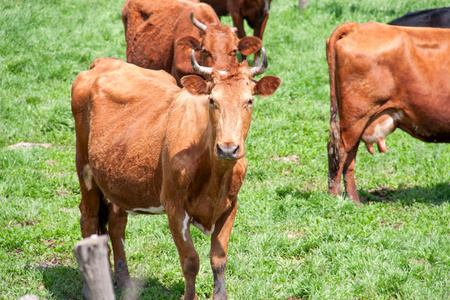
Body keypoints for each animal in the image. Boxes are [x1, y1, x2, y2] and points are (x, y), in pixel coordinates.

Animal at [70, 49, 282, 298]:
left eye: (249, 100)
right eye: (212, 100)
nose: (228, 148)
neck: (215, 177)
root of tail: (104, 62)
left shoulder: (230, 205)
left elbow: (219, 259)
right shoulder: (174, 207)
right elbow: (190, 261)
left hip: (117, 179)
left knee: (116, 223)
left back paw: (124, 282)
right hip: (85, 168)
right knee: (89, 217)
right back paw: (90, 286)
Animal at [326, 21, 450, 206]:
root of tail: (358, 26)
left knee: (349, 156)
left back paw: (354, 202)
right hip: (356, 117)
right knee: (339, 151)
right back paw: (336, 200)